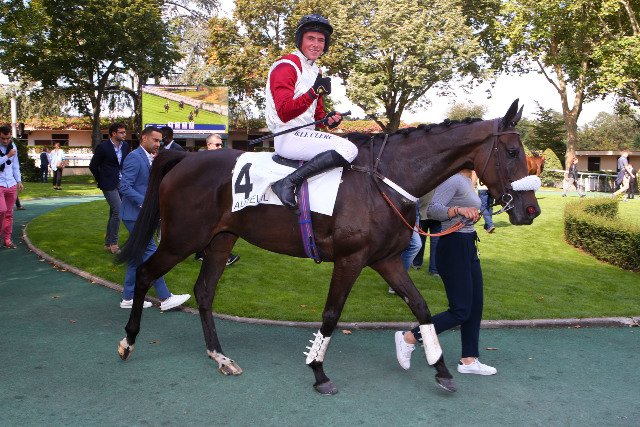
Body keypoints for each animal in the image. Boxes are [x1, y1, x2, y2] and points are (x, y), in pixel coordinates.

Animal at [117, 100, 540, 395]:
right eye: (512, 153)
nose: (531, 210)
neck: (384, 179)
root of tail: (183, 158)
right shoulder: (350, 261)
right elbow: (332, 315)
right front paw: (318, 371)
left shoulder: (387, 261)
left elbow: (421, 308)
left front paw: (441, 368)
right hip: (182, 239)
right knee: (145, 271)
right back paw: (128, 340)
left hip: (221, 241)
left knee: (205, 292)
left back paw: (220, 356)